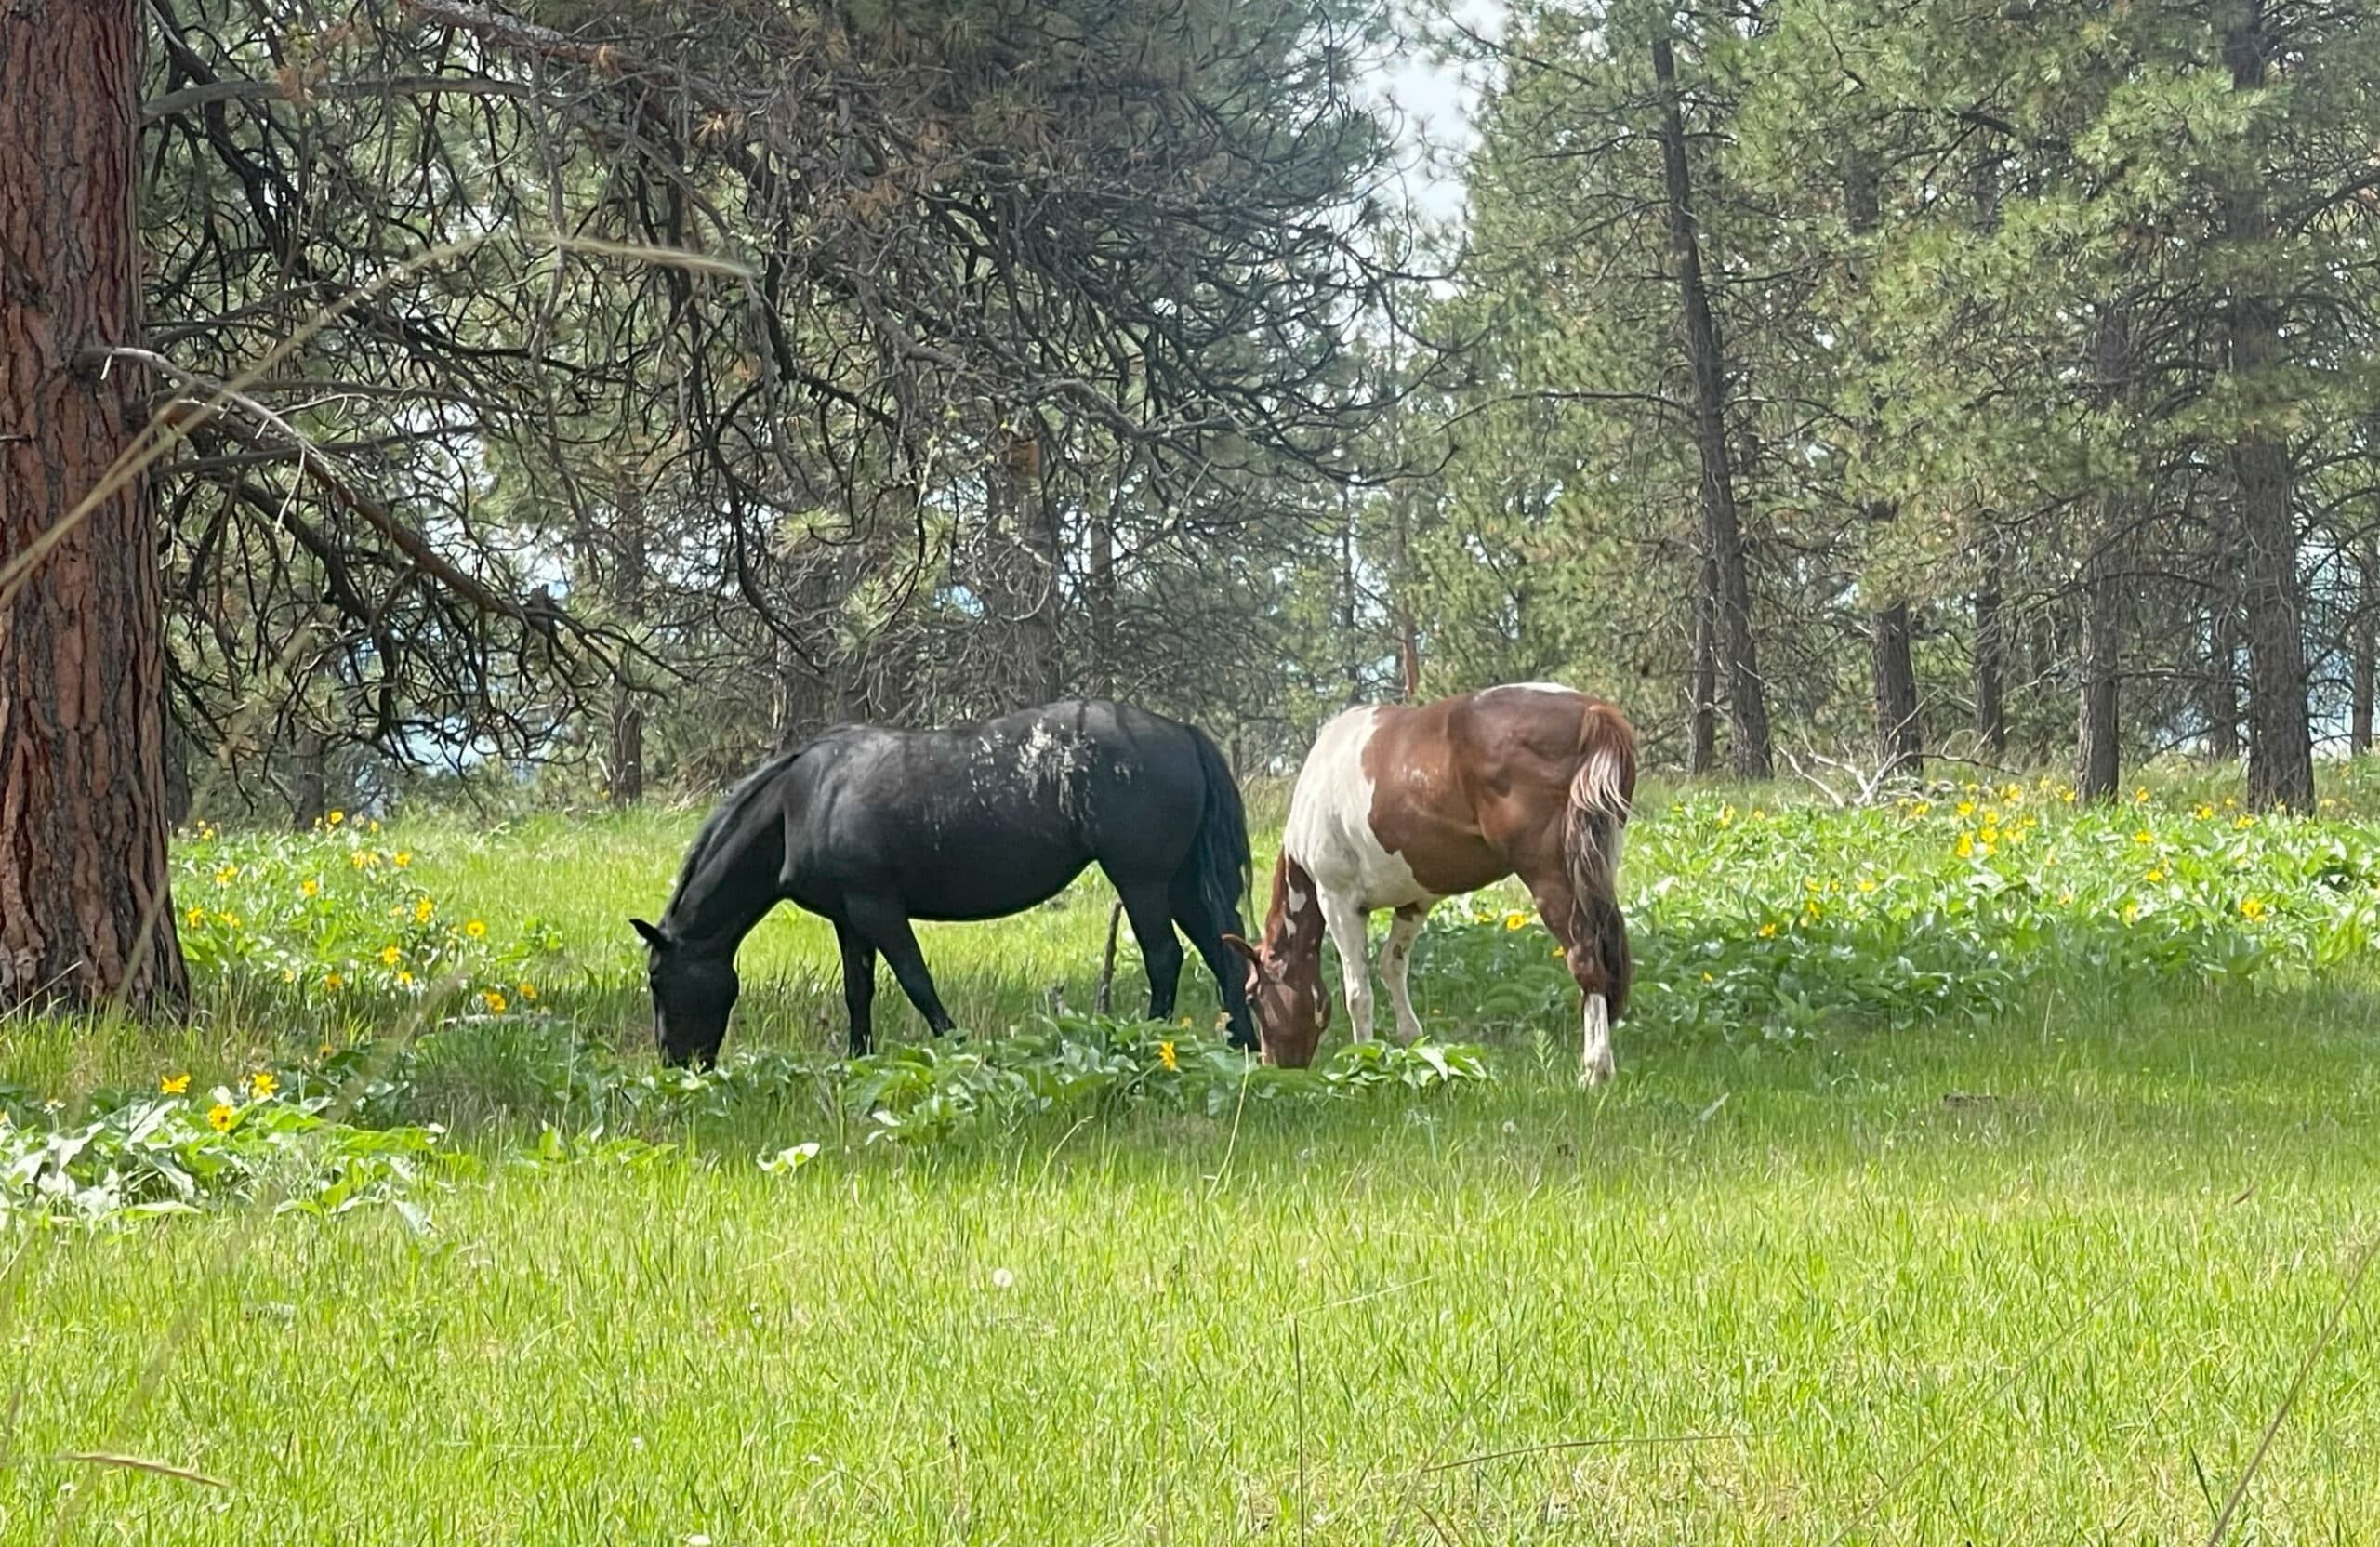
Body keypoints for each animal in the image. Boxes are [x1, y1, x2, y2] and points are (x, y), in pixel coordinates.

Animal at [631, 698, 1257, 1067]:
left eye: (658, 979)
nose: (676, 1063)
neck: (802, 798)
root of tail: (1182, 732)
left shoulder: (877, 907)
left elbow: (916, 981)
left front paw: (956, 1048)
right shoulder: (847, 917)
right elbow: (859, 991)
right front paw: (859, 1061)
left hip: (1142, 880)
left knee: (1166, 958)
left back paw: (1149, 1041)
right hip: (1179, 883)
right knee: (1223, 949)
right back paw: (1244, 1043)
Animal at [1223, 684, 1636, 1083]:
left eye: (1252, 997)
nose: (1273, 1066)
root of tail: (1593, 714)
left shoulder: (1338, 901)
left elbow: (1358, 993)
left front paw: (1359, 1063)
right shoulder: (1415, 902)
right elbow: (1392, 965)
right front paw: (1410, 1046)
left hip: (1552, 881)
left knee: (1586, 961)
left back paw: (1595, 1071)